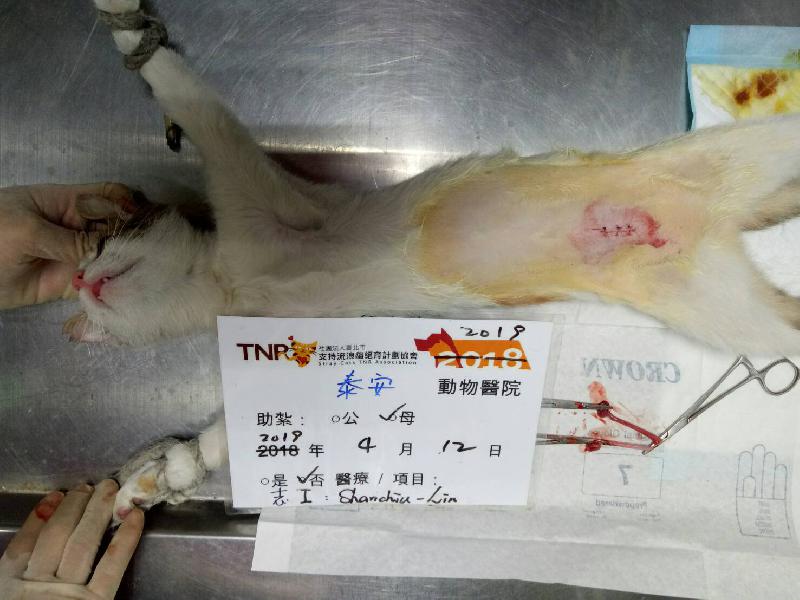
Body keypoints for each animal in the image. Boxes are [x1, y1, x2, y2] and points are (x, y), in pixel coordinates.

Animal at [81, 0, 800, 520]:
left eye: (100, 236)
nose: (83, 283)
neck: (239, 283)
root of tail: (700, 214)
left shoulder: (278, 199)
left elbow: (198, 107)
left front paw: (130, 30)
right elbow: (226, 429)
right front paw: (165, 473)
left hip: (755, 151)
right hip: (719, 305)